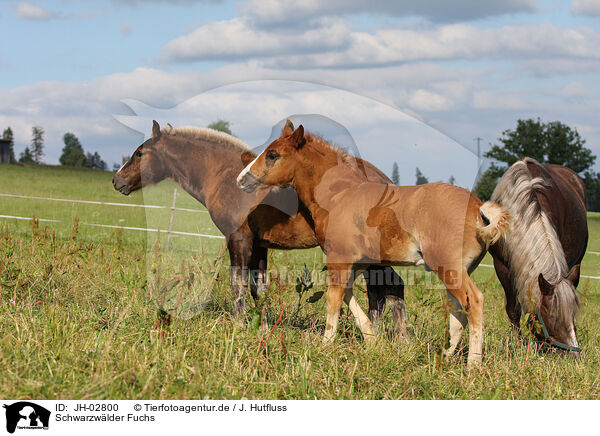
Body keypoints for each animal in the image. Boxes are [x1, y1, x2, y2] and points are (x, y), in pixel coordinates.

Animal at [112, 119, 408, 334]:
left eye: (140, 153)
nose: (117, 181)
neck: (225, 178)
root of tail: (385, 182)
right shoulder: (259, 245)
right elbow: (258, 287)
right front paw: (263, 328)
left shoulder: (238, 238)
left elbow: (238, 283)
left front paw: (239, 325)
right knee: (389, 288)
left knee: (386, 287)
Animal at [237, 122, 508, 364]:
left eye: (273, 154)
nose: (241, 180)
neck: (339, 195)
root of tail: (478, 208)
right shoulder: (357, 263)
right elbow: (348, 295)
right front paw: (372, 339)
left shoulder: (339, 259)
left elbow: (333, 299)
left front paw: (325, 344)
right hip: (459, 270)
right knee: (458, 309)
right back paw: (446, 356)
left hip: (448, 267)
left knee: (473, 302)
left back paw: (473, 364)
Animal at [488, 158, 584, 354]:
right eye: (553, 318)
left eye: (572, 314)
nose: (573, 355)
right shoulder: (501, 266)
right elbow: (513, 309)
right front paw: (517, 343)